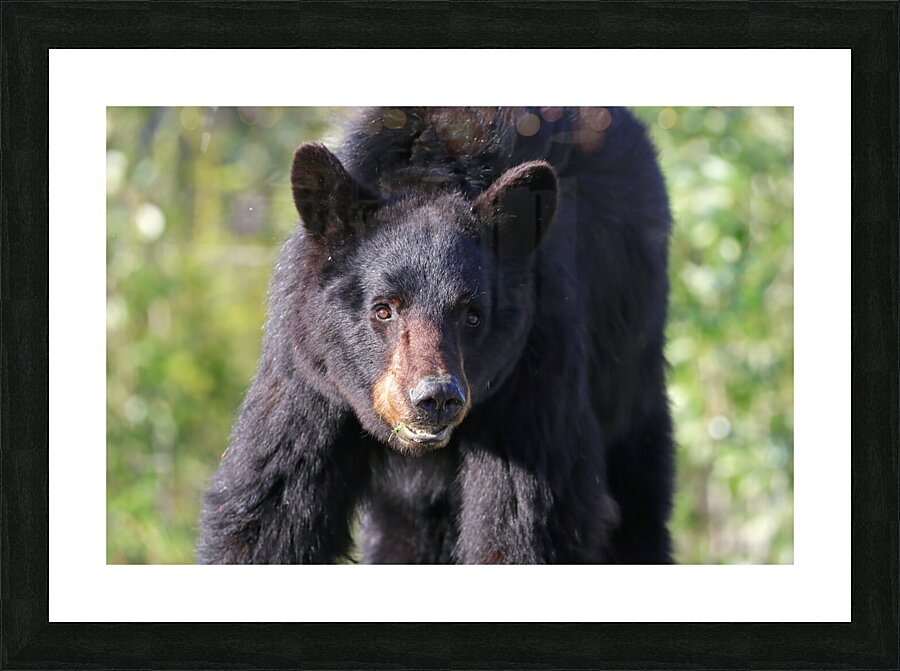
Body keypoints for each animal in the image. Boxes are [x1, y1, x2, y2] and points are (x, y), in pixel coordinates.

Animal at [197, 107, 674, 564]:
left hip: (631, 381)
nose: (436, 398)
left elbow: (524, 520)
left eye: (473, 316)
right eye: (383, 309)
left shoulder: (534, 371)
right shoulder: (310, 374)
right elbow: (269, 507)